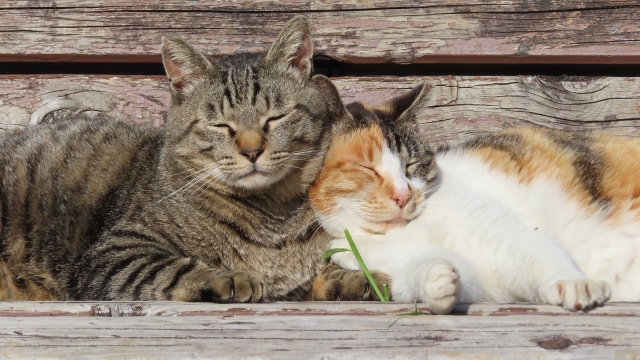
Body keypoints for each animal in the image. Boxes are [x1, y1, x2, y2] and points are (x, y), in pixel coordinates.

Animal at [0, 15, 376, 302]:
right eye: (220, 125)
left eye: (275, 118)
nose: (252, 151)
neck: (273, 217)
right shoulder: (112, 253)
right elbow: (172, 267)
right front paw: (229, 277)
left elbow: (330, 267)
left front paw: (357, 277)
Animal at [310, 83, 640, 312]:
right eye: (367, 168)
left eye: (411, 165)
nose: (404, 195)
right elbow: (440, 275)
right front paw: (437, 279)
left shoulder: (500, 231)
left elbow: (536, 250)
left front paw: (573, 284)